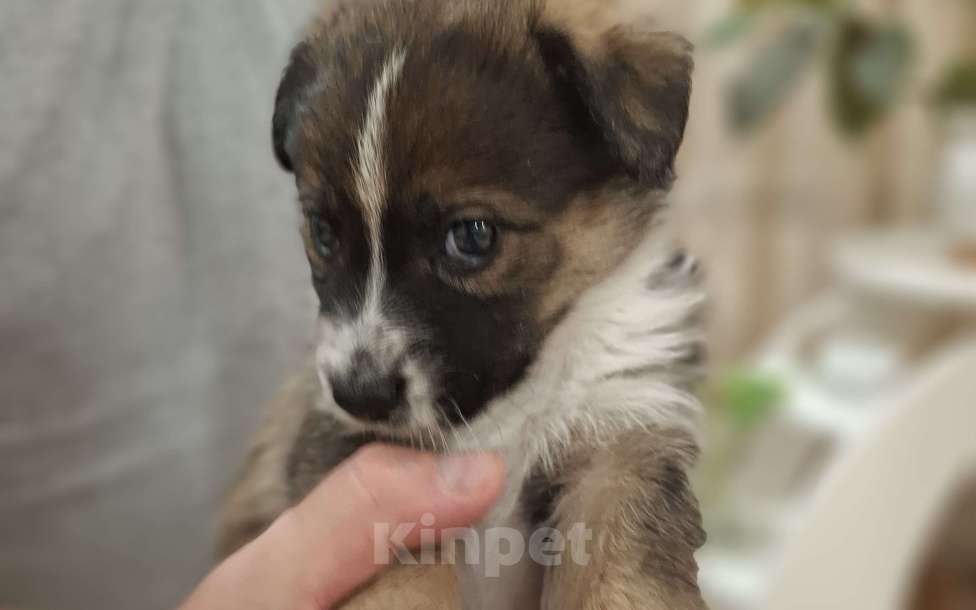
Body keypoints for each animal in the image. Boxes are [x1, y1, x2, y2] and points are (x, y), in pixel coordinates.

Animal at [217, 0, 708, 608]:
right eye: (323, 233)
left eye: (472, 235)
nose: (360, 395)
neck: (515, 403)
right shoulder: (351, 452)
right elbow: (405, 570)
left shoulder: (623, 442)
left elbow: (625, 577)